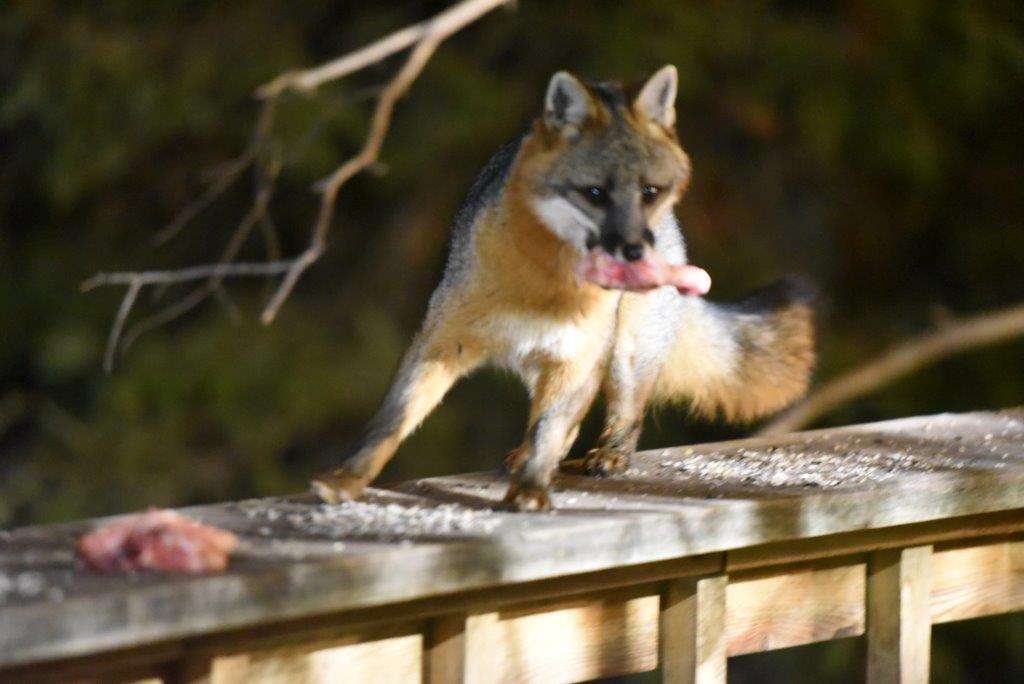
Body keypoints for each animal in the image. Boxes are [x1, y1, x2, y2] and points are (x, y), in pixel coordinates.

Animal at [312, 65, 815, 511]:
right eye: (594, 193)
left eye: (649, 192)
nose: (634, 249)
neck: (543, 288)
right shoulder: (441, 340)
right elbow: (389, 423)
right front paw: (346, 480)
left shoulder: (577, 354)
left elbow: (551, 430)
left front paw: (531, 490)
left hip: (623, 354)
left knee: (620, 414)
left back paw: (608, 454)